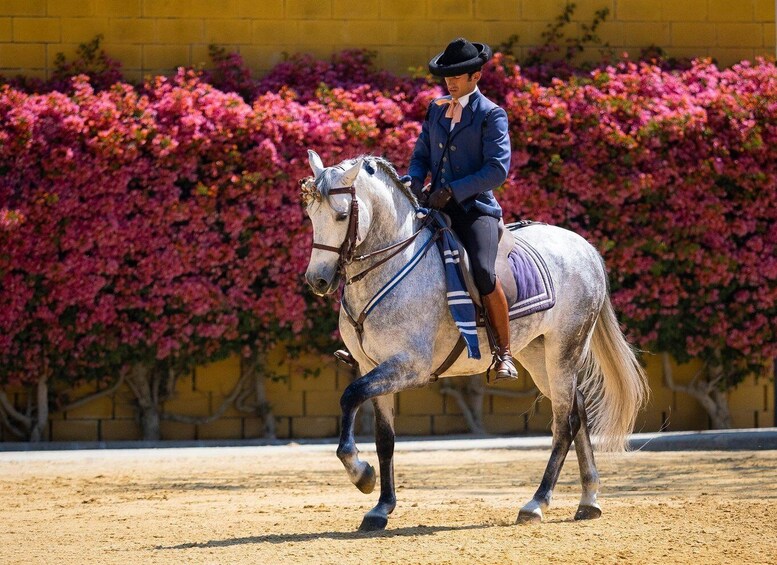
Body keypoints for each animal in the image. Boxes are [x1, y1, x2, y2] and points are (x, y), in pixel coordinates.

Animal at [302, 150, 648, 531]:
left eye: (341, 215)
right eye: (311, 215)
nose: (317, 281)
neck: (392, 263)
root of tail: (584, 247)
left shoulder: (408, 366)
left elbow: (350, 397)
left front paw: (360, 474)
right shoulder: (372, 366)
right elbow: (384, 438)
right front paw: (381, 508)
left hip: (564, 349)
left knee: (565, 422)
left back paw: (536, 503)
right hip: (540, 355)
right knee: (578, 411)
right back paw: (588, 500)